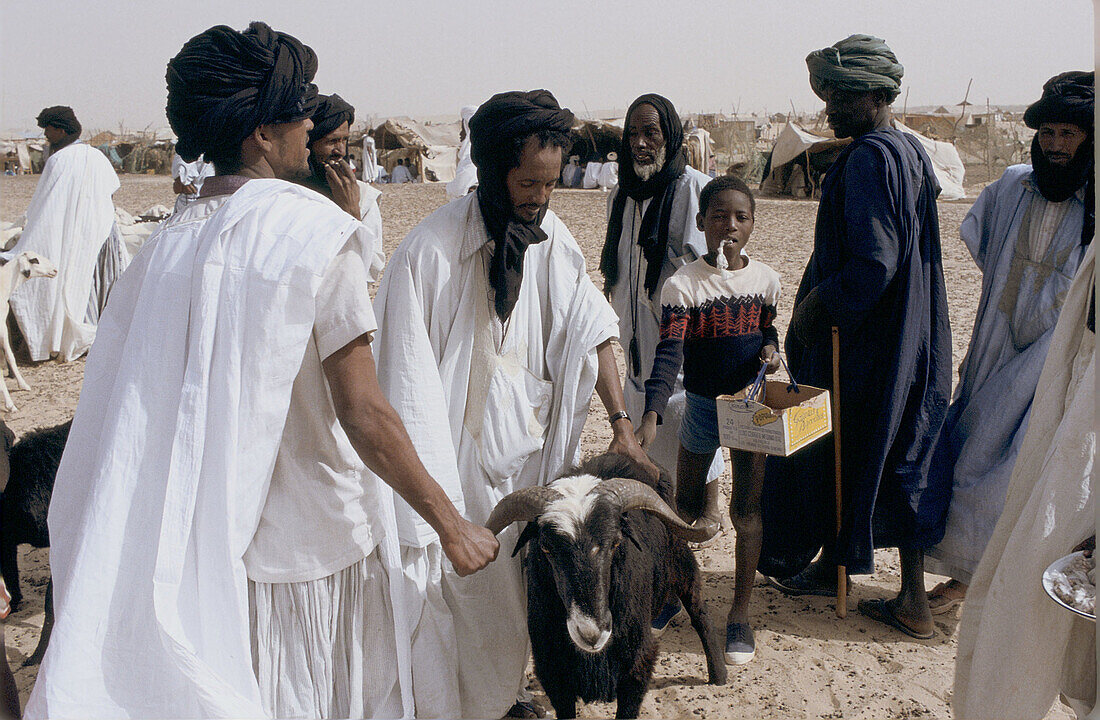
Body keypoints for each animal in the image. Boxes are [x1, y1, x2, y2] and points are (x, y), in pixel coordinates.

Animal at [486, 452, 726, 716]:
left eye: (615, 542)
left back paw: (719, 675)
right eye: (546, 548)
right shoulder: (553, 673)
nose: (591, 632)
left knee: (699, 612)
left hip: (681, 561)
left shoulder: (637, 666)